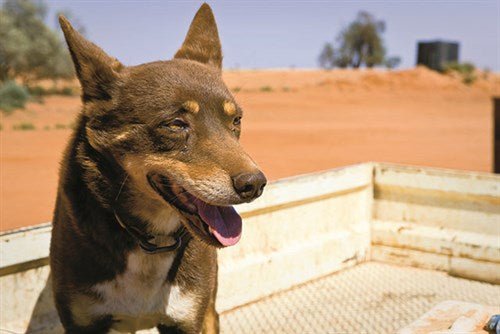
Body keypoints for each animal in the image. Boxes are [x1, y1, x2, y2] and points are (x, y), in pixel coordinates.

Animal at [50, 3, 266, 332]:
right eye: (175, 124)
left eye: (236, 120)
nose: (254, 184)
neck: (151, 240)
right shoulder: (82, 321)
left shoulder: (187, 317)